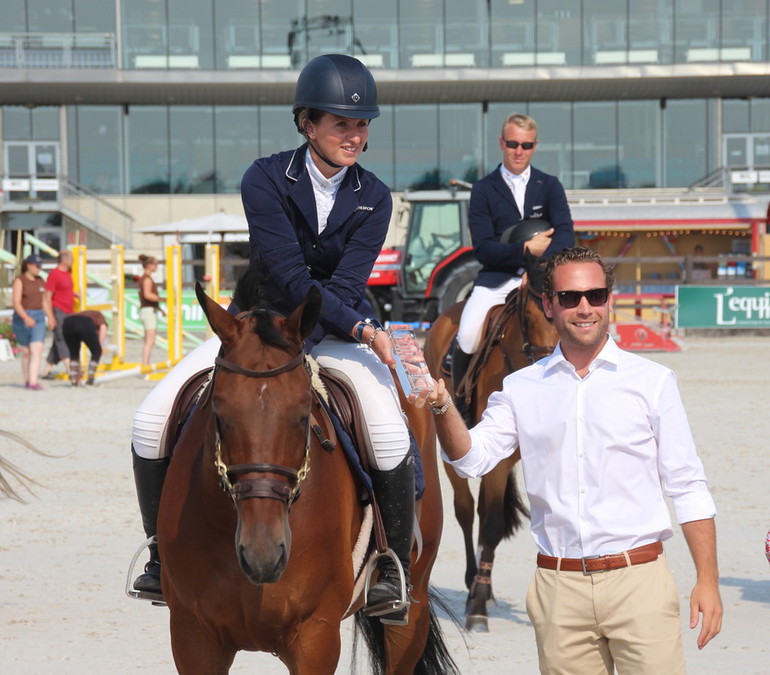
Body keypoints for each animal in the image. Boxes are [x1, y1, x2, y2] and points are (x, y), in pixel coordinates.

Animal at [156, 276, 456, 675]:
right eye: (218, 414)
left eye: (302, 416)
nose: (263, 553)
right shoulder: (193, 636)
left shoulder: (315, 637)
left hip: (412, 602)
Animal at [424, 255, 556, 632]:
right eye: (530, 314)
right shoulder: (494, 459)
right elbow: (491, 522)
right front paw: (478, 606)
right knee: (467, 510)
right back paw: (473, 582)